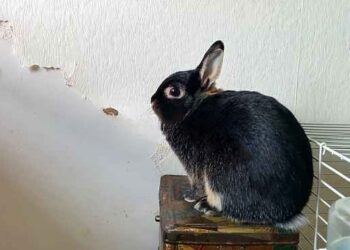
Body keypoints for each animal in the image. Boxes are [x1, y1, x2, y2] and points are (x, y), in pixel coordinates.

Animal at [152, 41, 314, 230]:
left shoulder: (193, 164)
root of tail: (288, 214)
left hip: (222, 177)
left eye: (174, 91)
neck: (192, 109)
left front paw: (189, 196)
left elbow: (197, 183)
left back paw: (206, 206)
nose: (152, 100)